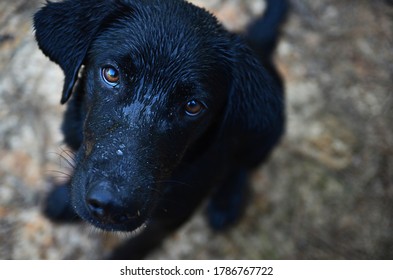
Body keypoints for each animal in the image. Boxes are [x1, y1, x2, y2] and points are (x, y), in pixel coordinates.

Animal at [33, 0, 286, 258]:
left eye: (193, 106)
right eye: (111, 74)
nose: (110, 205)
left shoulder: (171, 218)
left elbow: (135, 248)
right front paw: (64, 200)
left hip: (264, 139)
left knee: (241, 167)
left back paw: (227, 202)